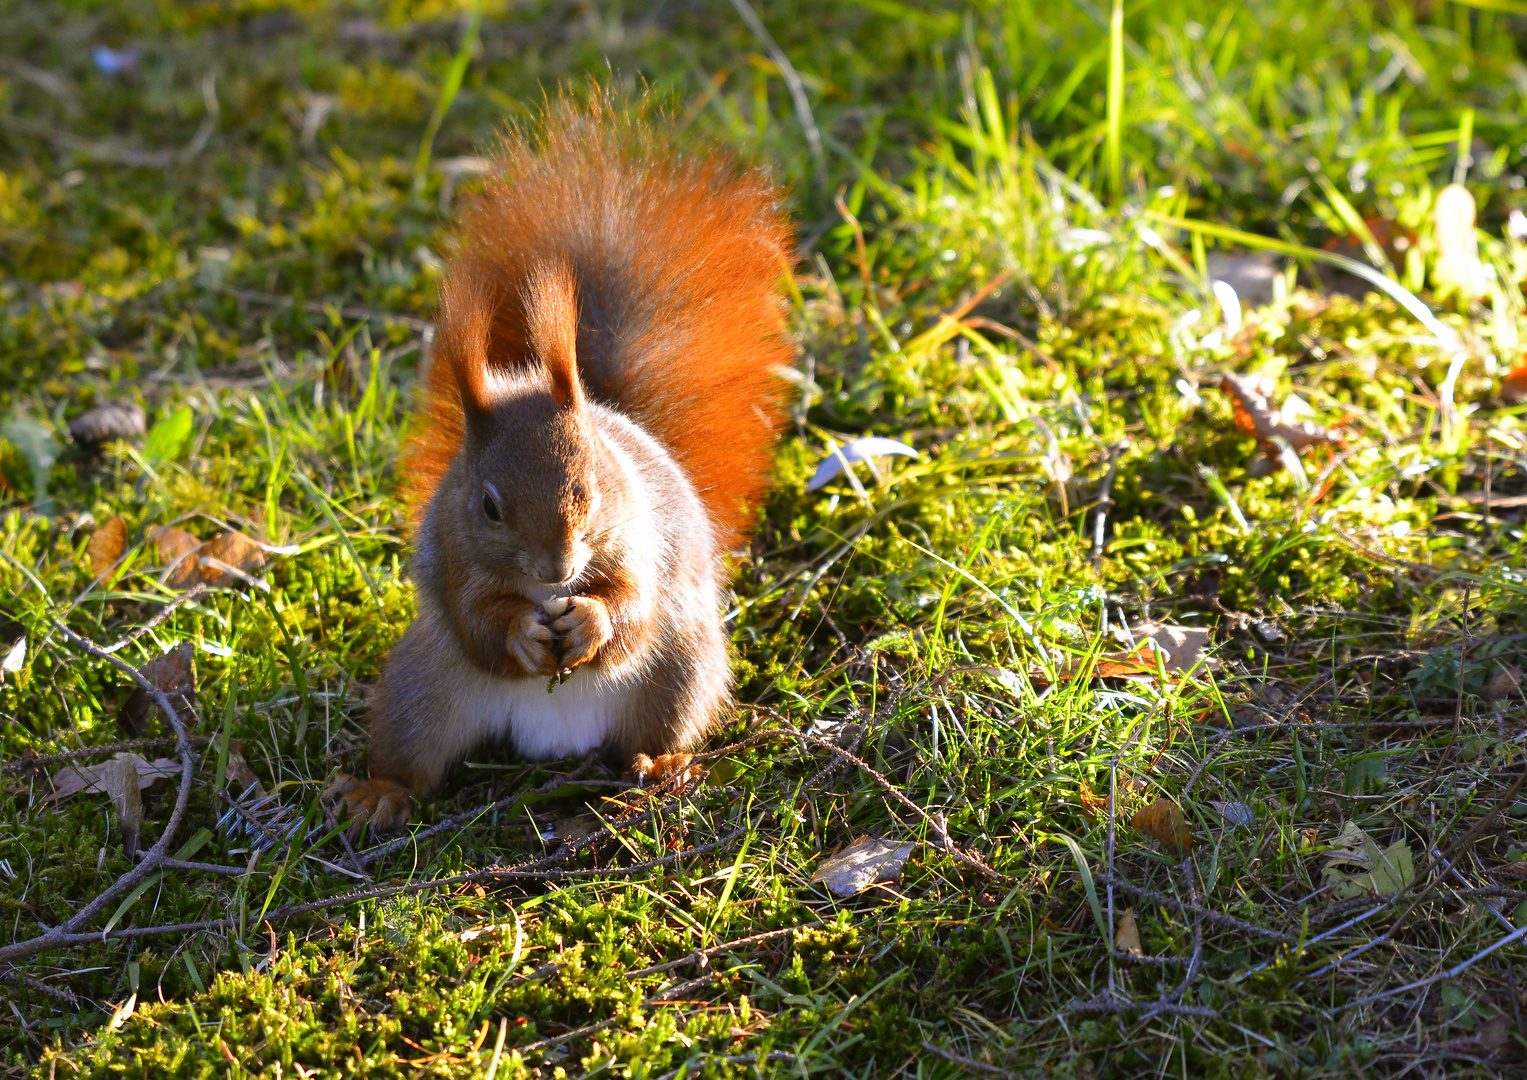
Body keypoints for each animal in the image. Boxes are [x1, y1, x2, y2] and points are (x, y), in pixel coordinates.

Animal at [338, 99, 794, 831]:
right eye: (488, 506)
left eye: (589, 489)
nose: (556, 571)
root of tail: (553, 738)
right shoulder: (455, 556)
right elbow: (476, 619)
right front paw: (523, 632)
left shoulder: (643, 539)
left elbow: (632, 607)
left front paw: (590, 622)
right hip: (422, 686)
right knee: (413, 750)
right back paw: (379, 792)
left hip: (680, 668)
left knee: (660, 717)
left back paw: (664, 767)